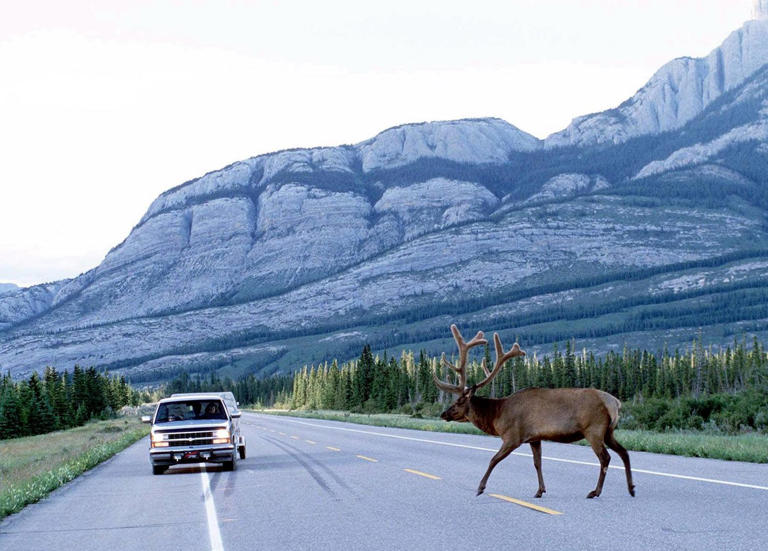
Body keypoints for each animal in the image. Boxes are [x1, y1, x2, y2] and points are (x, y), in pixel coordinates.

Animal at [433, 324, 635, 499]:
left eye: (459, 401)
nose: (443, 414)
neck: (497, 415)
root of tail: (614, 402)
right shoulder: (534, 438)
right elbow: (537, 463)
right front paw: (540, 490)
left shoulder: (513, 436)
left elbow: (493, 459)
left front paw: (480, 487)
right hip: (608, 431)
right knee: (624, 452)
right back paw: (631, 488)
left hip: (594, 429)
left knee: (605, 457)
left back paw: (595, 491)